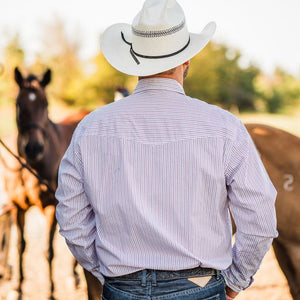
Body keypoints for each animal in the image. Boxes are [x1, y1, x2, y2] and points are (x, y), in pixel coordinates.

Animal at [13, 68, 102, 300]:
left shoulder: (52, 208)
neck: (34, 167)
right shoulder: (18, 208)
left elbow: (49, 251)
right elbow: (20, 246)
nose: (33, 148)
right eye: (19, 104)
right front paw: (17, 288)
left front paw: (51, 292)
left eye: (45, 104)